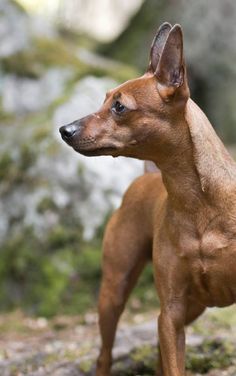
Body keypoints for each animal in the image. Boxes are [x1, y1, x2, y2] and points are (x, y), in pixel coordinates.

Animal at [60, 23, 236, 376]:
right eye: (104, 99)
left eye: (119, 106)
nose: (65, 130)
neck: (199, 202)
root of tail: (147, 174)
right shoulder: (171, 310)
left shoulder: (179, 312)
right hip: (115, 291)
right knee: (105, 354)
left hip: (193, 306)